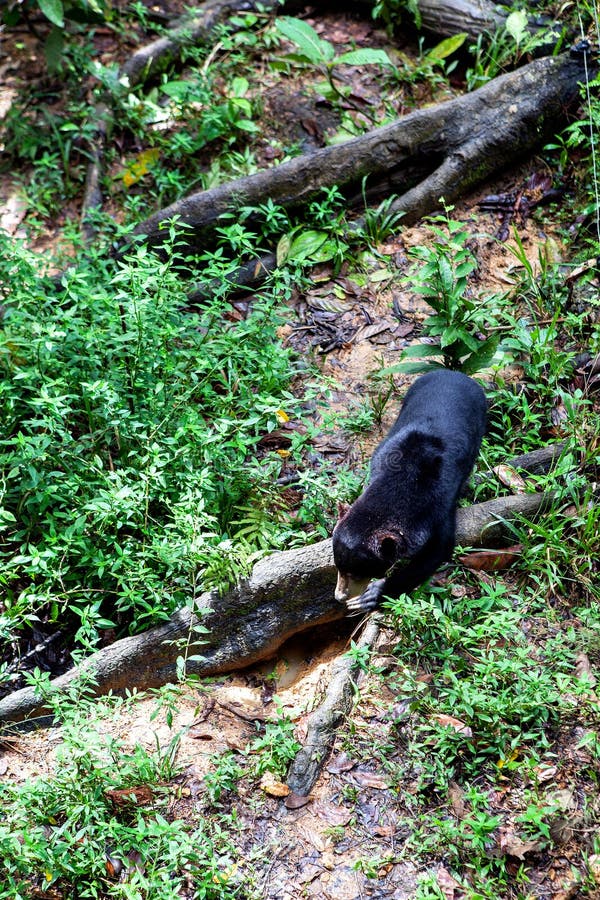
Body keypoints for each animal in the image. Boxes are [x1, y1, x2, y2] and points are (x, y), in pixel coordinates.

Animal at [332, 370, 488, 616]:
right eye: (338, 567)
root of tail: (455, 373)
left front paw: (372, 595)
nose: (340, 597)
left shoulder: (438, 505)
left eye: (358, 573)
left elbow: (438, 550)